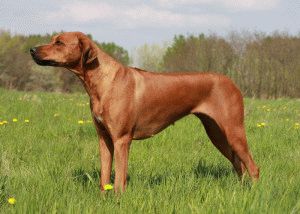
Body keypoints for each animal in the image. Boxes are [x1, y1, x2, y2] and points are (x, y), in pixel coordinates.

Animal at [31, 32, 260, 193]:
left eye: (59, 43)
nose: (32, 50)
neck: (104, 81)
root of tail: (231, 81)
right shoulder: (104, 139)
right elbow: (104, 177)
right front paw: (103, 198)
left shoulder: (122, 140)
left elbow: (119, 180)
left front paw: (118, 200)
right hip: (216, 134)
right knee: (238, 165)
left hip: (233, 131)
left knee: (253, 168)